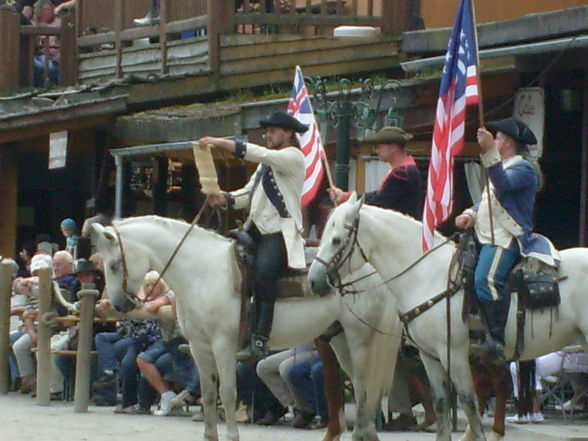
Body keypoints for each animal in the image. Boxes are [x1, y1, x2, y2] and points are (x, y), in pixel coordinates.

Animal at [92, 216, 402, 440]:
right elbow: (208, 394)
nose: (118, 304)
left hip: (361, 339)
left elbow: (228, 393)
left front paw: (231, 435)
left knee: (364, 386)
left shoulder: (223, 345)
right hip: (337, 338)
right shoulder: (199, 348)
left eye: (115, 264)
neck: (202, 272)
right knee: (353, 386)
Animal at [308, 195, 588, 440]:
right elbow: (441, 403)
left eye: (336, 239)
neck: (426, 275)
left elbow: (469, 403)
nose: (313, 281)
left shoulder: (454, 353)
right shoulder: (430, 356)